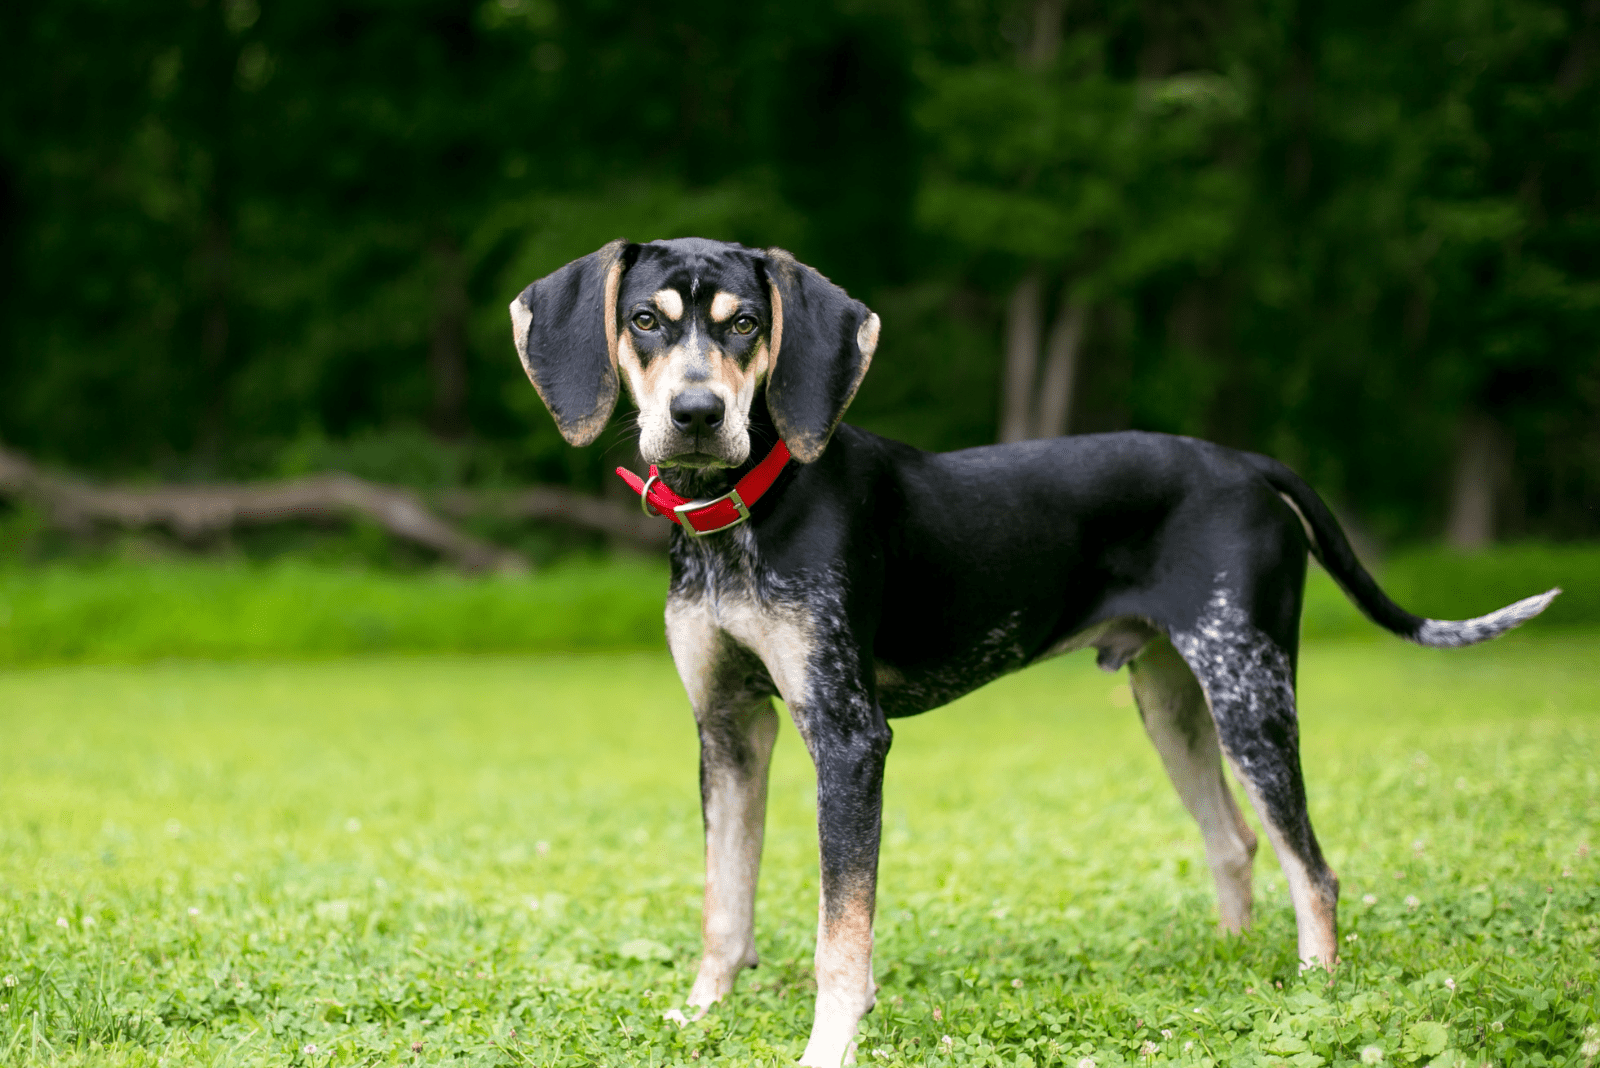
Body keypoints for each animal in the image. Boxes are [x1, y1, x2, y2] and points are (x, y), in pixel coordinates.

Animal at [512, 238, 1561, 1061]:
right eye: (644, 320)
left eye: (743, 327)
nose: (695, 415)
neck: (743, 513)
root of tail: (1245, 464)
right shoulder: (728, 728)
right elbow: (724, 905)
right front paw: (700, 1017)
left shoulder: (848, 738)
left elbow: (839, 935)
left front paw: (828, 1046)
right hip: (1174, 701)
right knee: (1235, 841)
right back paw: (1232, 965)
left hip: (1252, 694)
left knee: (1316, 867)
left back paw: (1314, 991)